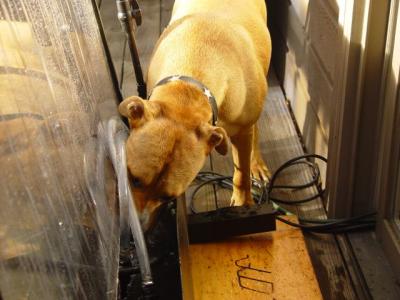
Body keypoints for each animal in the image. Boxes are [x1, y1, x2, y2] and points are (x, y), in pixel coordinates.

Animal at [119, 0, 272, 230]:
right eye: (134, 179)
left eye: (167, 197)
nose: (140, 229)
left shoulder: (242, 133)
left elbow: (241, 173)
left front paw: (244, 203)